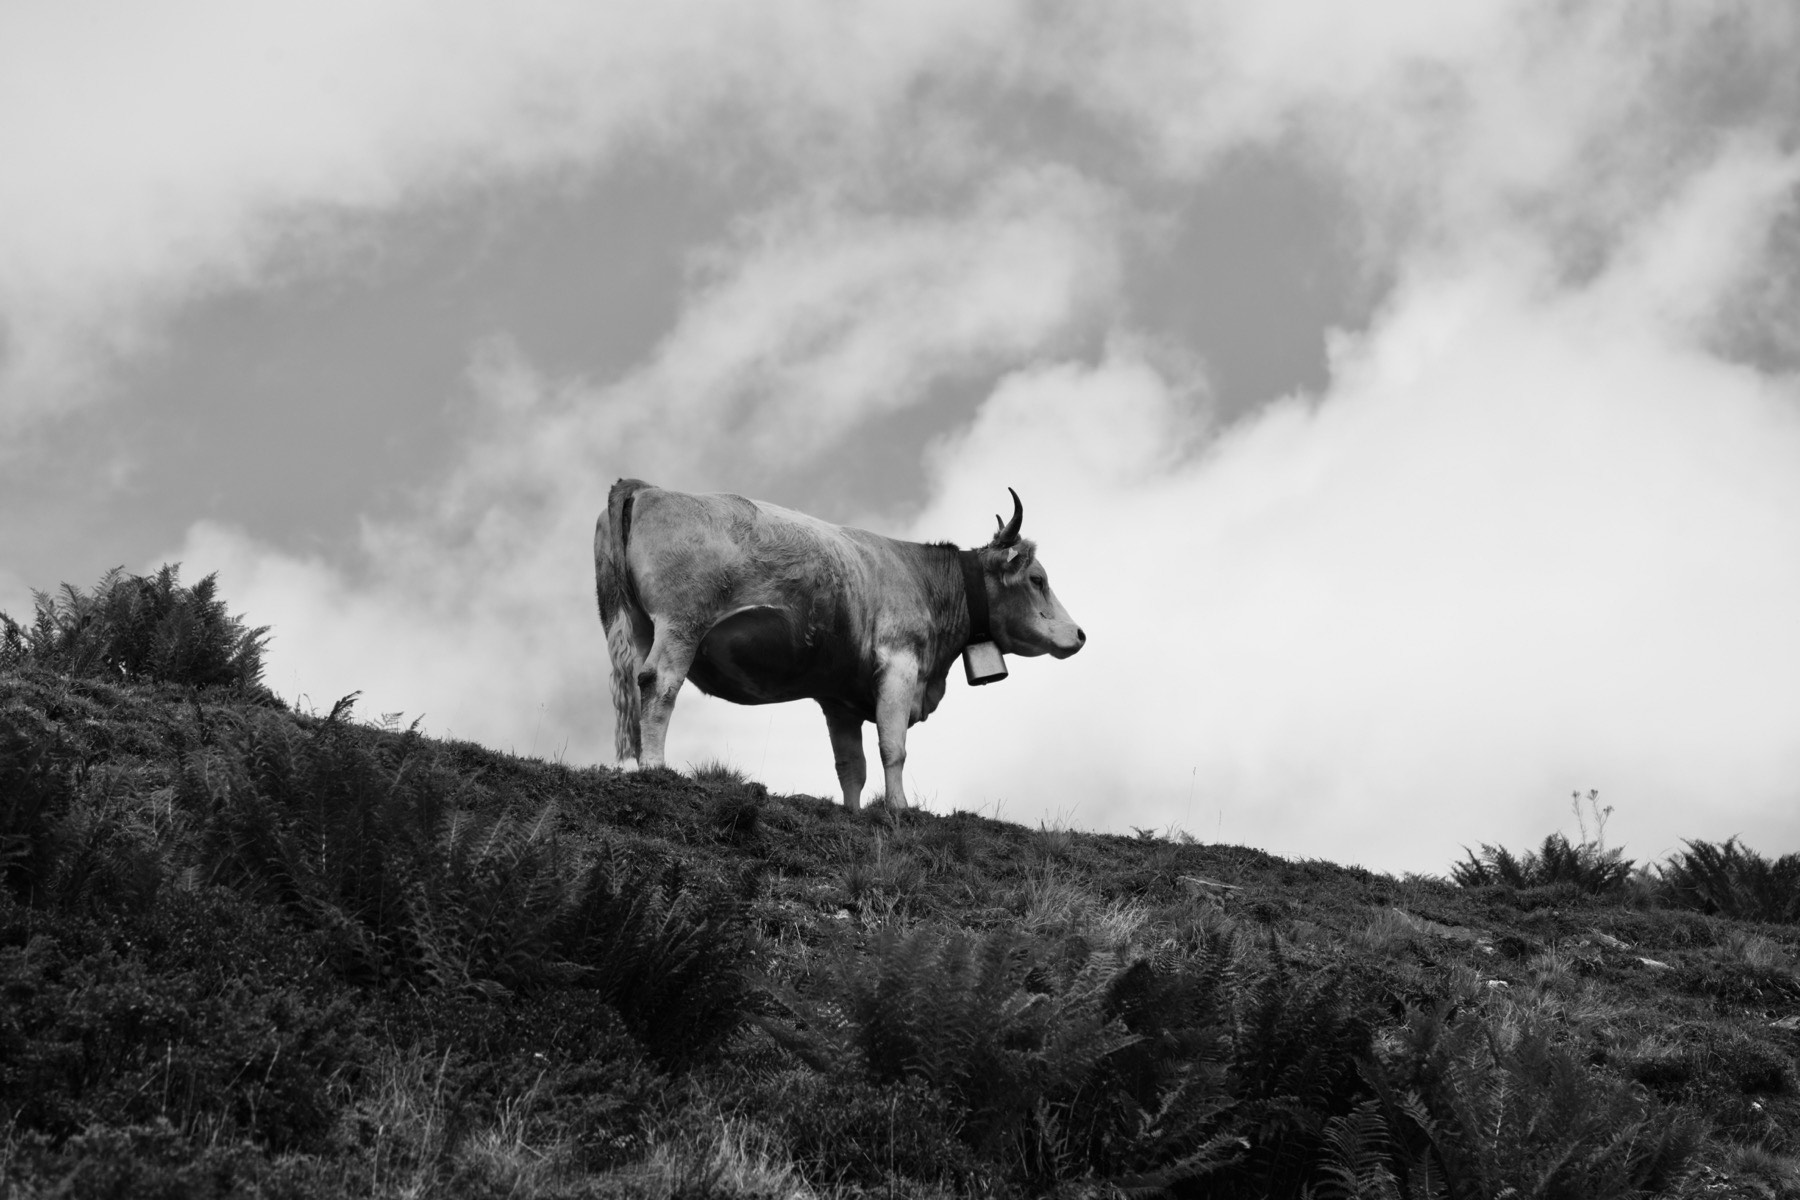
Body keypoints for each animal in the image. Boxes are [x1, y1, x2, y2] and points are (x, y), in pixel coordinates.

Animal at [594, 479, 1084, 809]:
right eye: (1037, 579)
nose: (1079, 634)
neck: (926, 580)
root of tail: (647, 487)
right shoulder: (899, 664)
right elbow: (893, 747)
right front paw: (899, 810)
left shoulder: (839, 699)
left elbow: (852, 766)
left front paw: (854, 813)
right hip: (681, 624)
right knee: (660, 685)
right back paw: (656, 767)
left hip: (636, 627)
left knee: (634, 688)